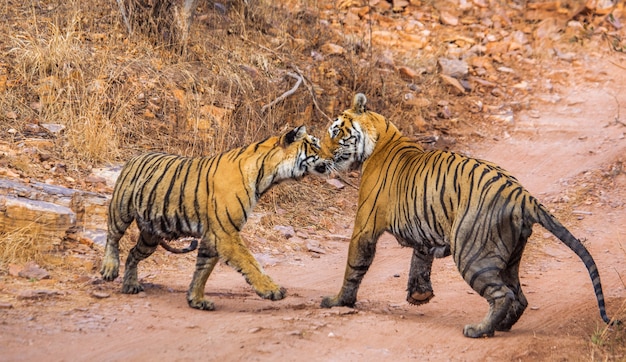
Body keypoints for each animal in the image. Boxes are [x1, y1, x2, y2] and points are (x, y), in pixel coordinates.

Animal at [100, 126, 330, 310]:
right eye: (315, 145)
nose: (333, 156)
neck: (268, 176)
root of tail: (136, 156)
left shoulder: (212, 235)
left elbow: (203, 270)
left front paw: (196, 300)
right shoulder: (225, 232)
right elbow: (250, 262)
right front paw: (272, 290)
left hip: (151, 235)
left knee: (133, 253)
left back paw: (130, 285)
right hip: (121, 210)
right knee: (112, 236)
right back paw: (109, 269)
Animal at [316, 92, 616, 336]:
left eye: (336, 133)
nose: (321, 156)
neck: (380, 134)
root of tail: (522, 194)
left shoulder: (365, 227)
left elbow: (354, 267)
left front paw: (338, 301)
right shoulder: (423, 228)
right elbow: (419, 262)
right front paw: (420, 295)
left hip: (472, 253)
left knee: (502, 294)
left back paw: (479, 329)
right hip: (510, 256)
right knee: (519, 296)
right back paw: (501, 326)